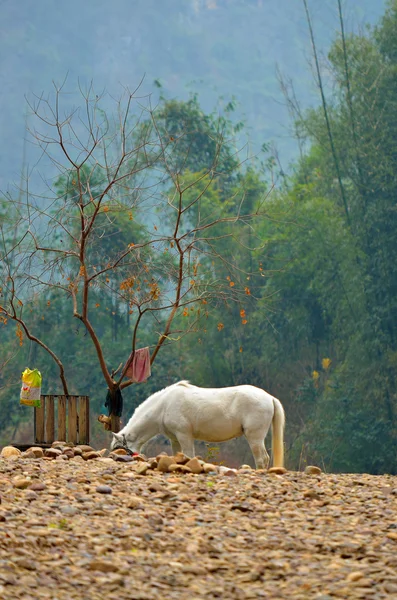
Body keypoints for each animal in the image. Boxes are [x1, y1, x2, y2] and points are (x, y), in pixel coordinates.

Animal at [110, 380, 284, 468]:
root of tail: (269, 397)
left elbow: (188, 456)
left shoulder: (184, 435)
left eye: (119, 448)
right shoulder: (175, 439)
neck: (164, 405)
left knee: (262, 459)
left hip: (255, 437)